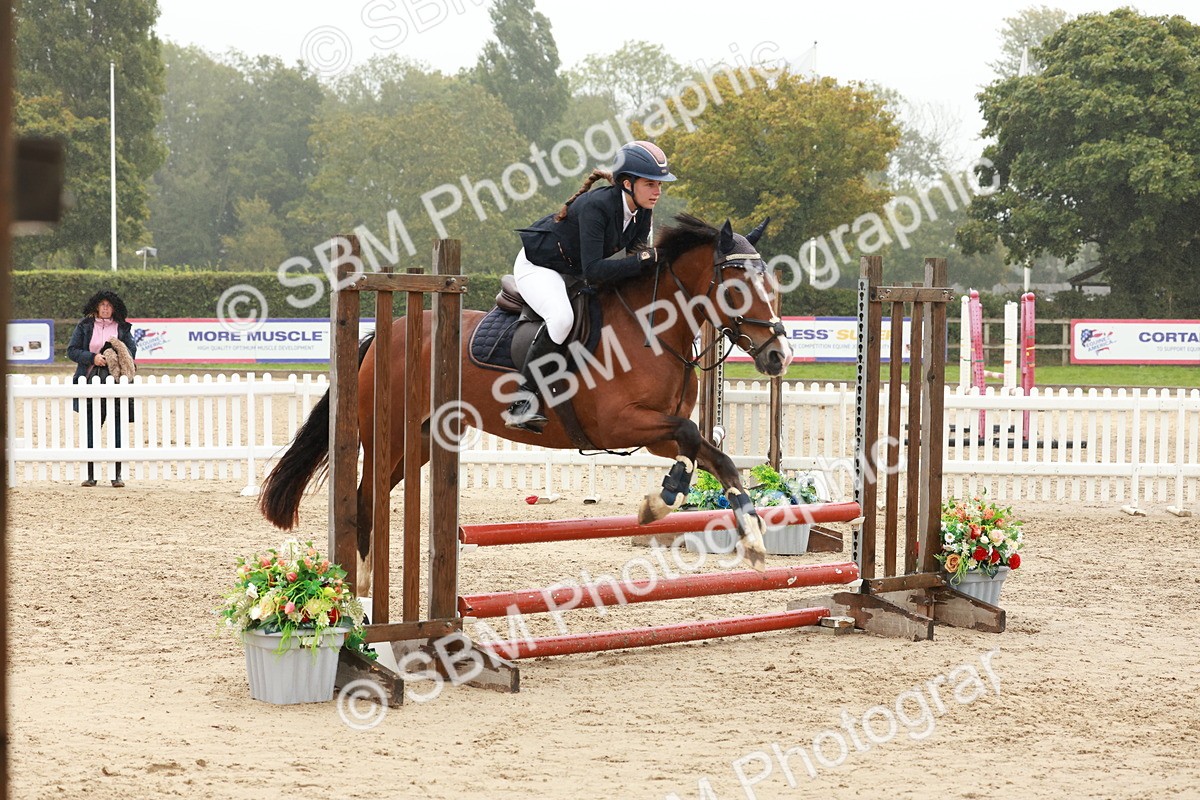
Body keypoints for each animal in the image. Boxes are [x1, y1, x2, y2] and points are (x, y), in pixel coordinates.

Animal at [259, 213, 794, 593]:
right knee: (365, 497)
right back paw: (361, 588)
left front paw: (751, 537)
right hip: (389, 433)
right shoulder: (618, 424)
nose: (778, 355)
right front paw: (660, 501)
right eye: (737, 287)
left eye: (773, 285)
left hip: (422, 441)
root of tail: (382, 335)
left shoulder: (655, 430)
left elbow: (713, 454)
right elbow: (691, 438)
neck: (652, 329)